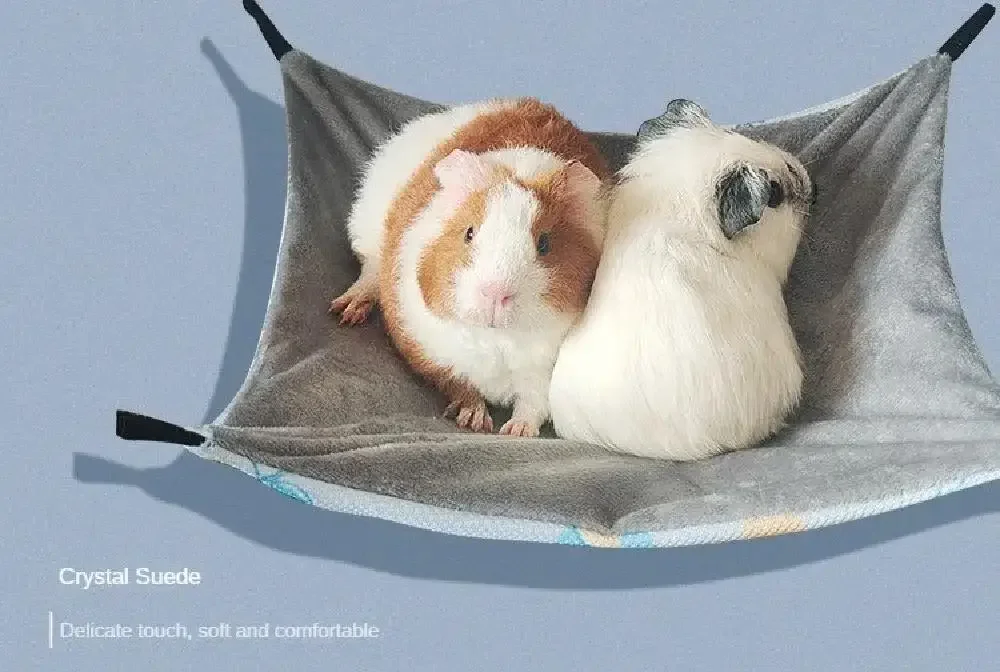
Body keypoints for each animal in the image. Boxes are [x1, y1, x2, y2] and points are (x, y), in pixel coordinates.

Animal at [329, 98, 610, 436]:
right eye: (469, 232)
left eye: (544, 244)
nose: (496, 293)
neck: (497, 339)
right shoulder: (434, 355)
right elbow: (460, 385)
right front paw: (475, 422)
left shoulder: (542, 374)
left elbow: (533, 404)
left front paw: (515, 431)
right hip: (368, 233)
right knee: (368, 274)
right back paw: (346, 312)